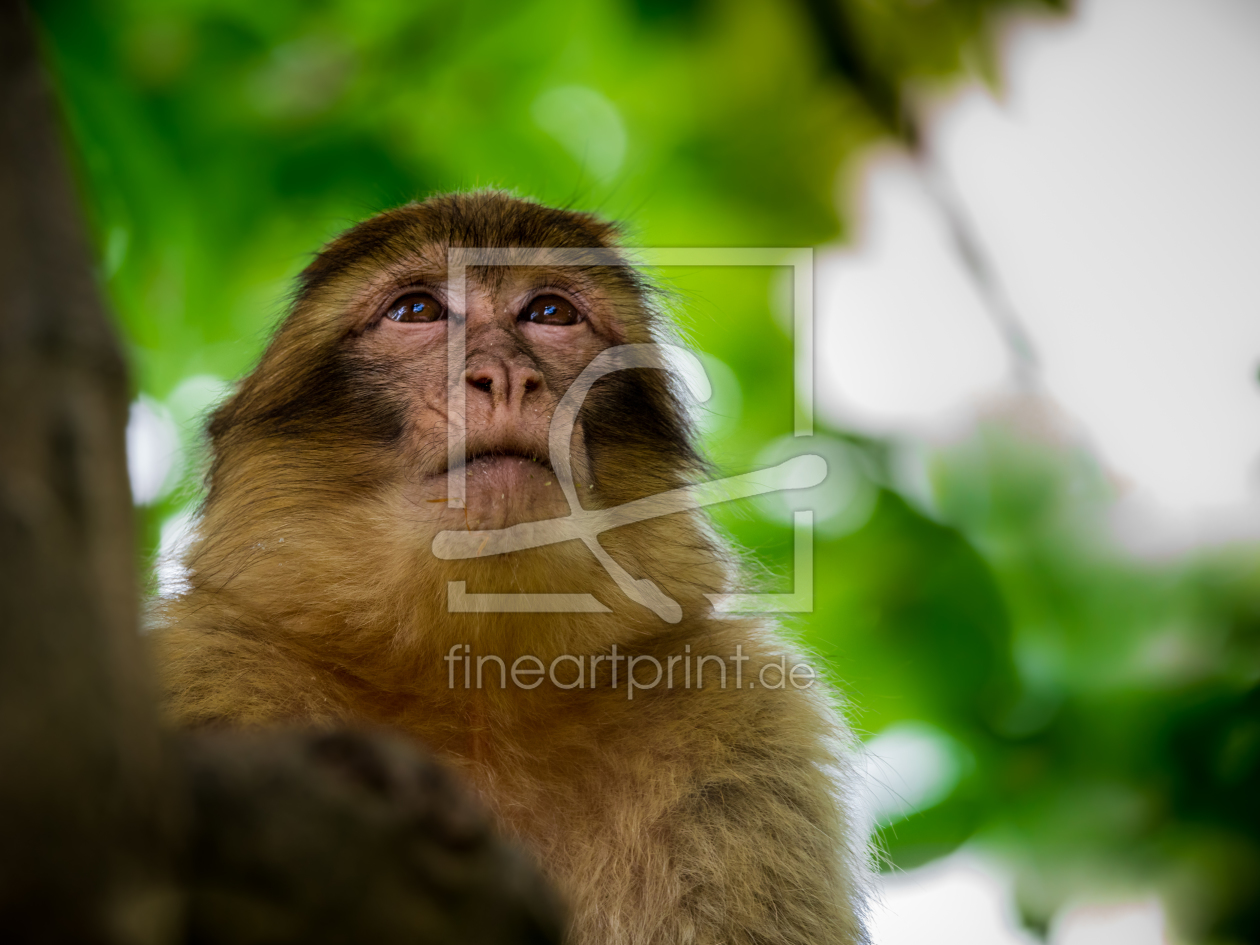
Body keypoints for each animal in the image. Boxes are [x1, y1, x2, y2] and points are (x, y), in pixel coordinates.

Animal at [152, 192, 871, 945]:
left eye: (549, 313)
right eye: (417, 310)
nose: (505, 377)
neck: (472, 682)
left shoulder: (746, 721)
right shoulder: (208, 669)